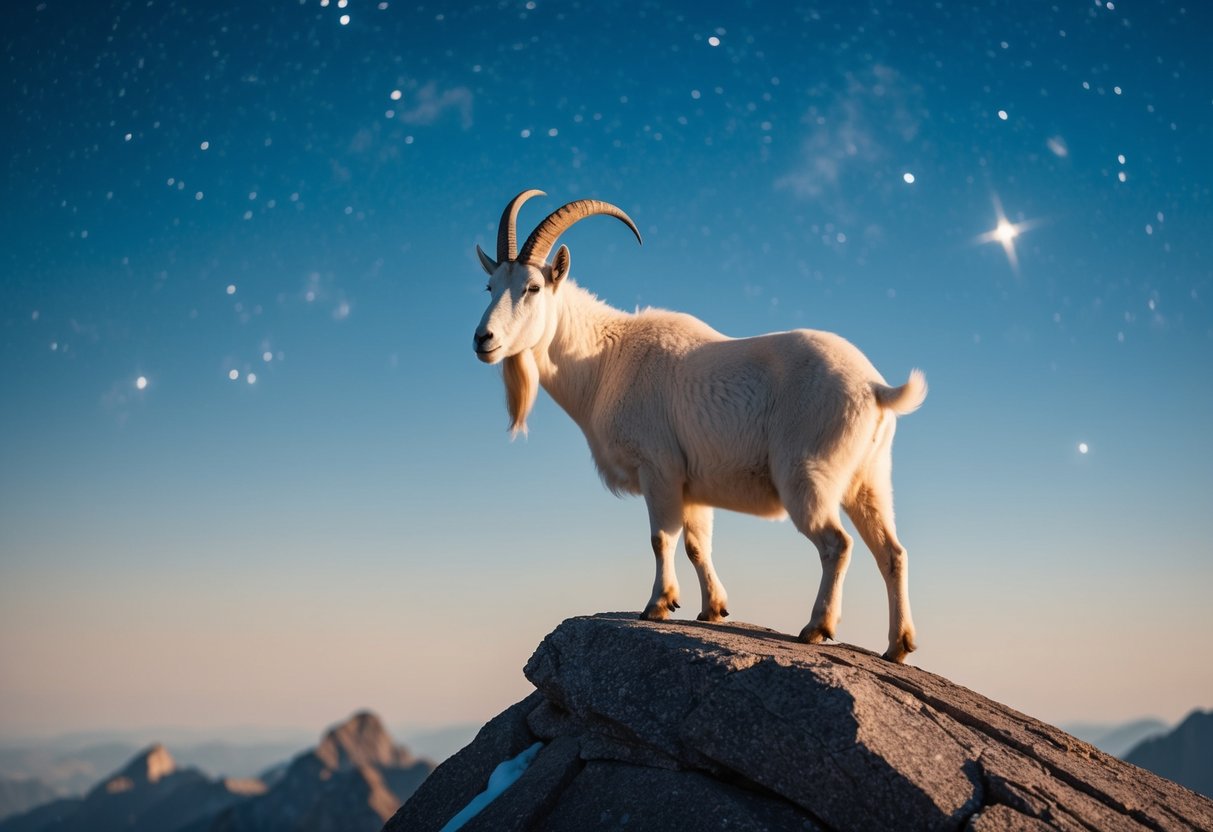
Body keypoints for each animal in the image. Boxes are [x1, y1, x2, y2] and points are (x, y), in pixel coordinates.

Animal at [472, 190, 927, 662]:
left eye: (533, 287)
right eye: (490, 287)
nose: (483, 340)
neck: (605, 358)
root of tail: (876, 388)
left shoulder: (659, 468)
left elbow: (661, 538)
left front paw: (658, 605)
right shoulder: (692, 484)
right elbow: (696, 543)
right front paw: (713, 609)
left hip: (808, 475)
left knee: (837, 544)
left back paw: (816, 627)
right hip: (869, 479)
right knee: (892, 552)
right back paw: (897, 646)